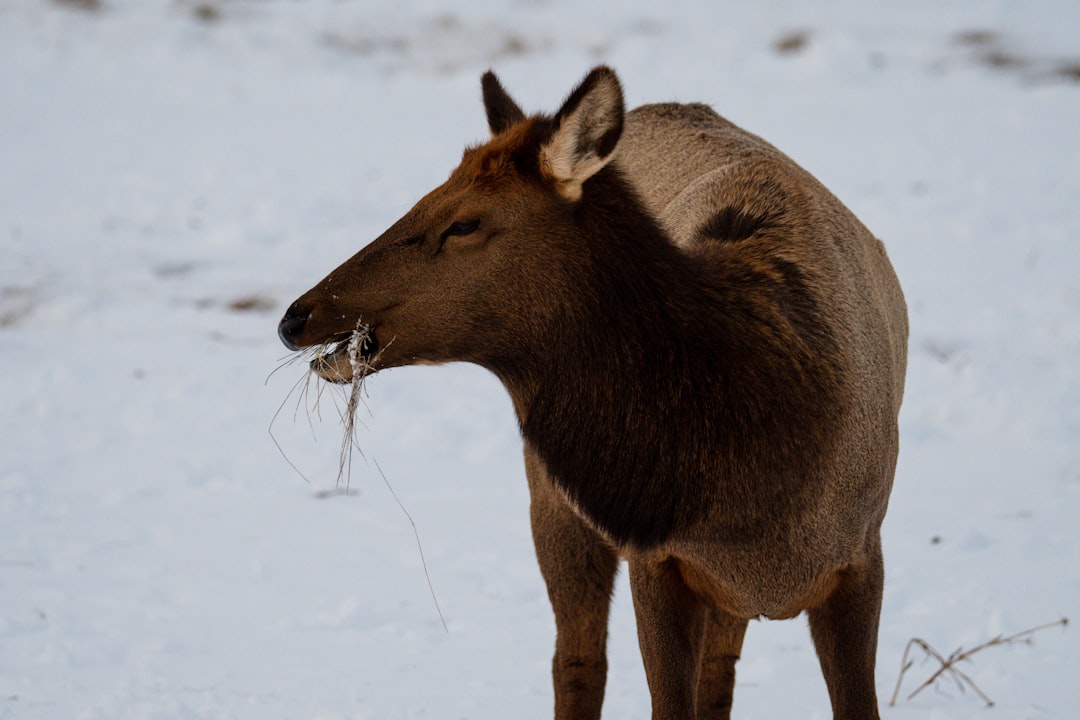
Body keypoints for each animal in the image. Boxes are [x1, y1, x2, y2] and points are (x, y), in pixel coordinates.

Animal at [277, 66, 908, 720]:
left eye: (464, 222)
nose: (296, 317)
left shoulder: (863, 556)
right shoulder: (656, 560)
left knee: (714, 673)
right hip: (554, 504)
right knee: (577, 658)